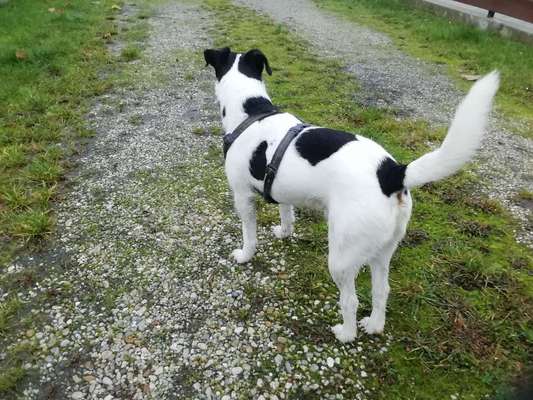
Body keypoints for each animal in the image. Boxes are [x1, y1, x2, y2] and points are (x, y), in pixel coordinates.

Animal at [204, 46, 498, 340]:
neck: (251, 110)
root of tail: (393, 172)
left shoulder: (242, 196)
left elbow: (249, 235)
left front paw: (245, 255)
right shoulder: (281, 191)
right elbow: (286, 214)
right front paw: (284, 232)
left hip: (341, 258)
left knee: (351, 300)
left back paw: (346, 333)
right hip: (383, 251)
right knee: (382, 291)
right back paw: (374, 325)